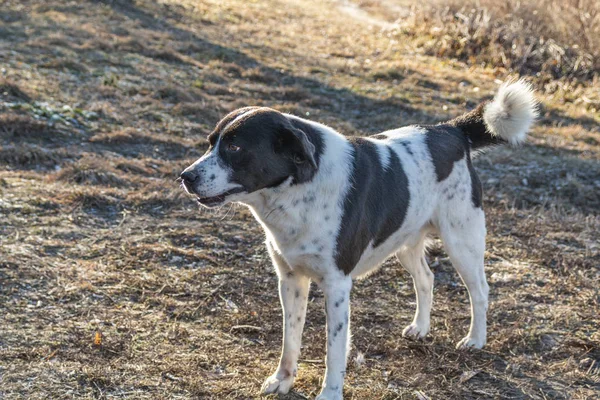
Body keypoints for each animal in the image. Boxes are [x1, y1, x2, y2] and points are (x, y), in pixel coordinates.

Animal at [178, 79, 540, 398]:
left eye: (235, 146)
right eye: (211, 142)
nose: (185, 177)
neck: (297, 190)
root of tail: (451, 130)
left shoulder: (337, 285)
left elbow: (334, 350)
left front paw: (329, 394)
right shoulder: (290, 279)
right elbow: (290, 338)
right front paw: (283, 380)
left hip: (461, 240)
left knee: (480, 290)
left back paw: (475, 340)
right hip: (404, 240)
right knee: (426, 278)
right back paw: (421, 327)